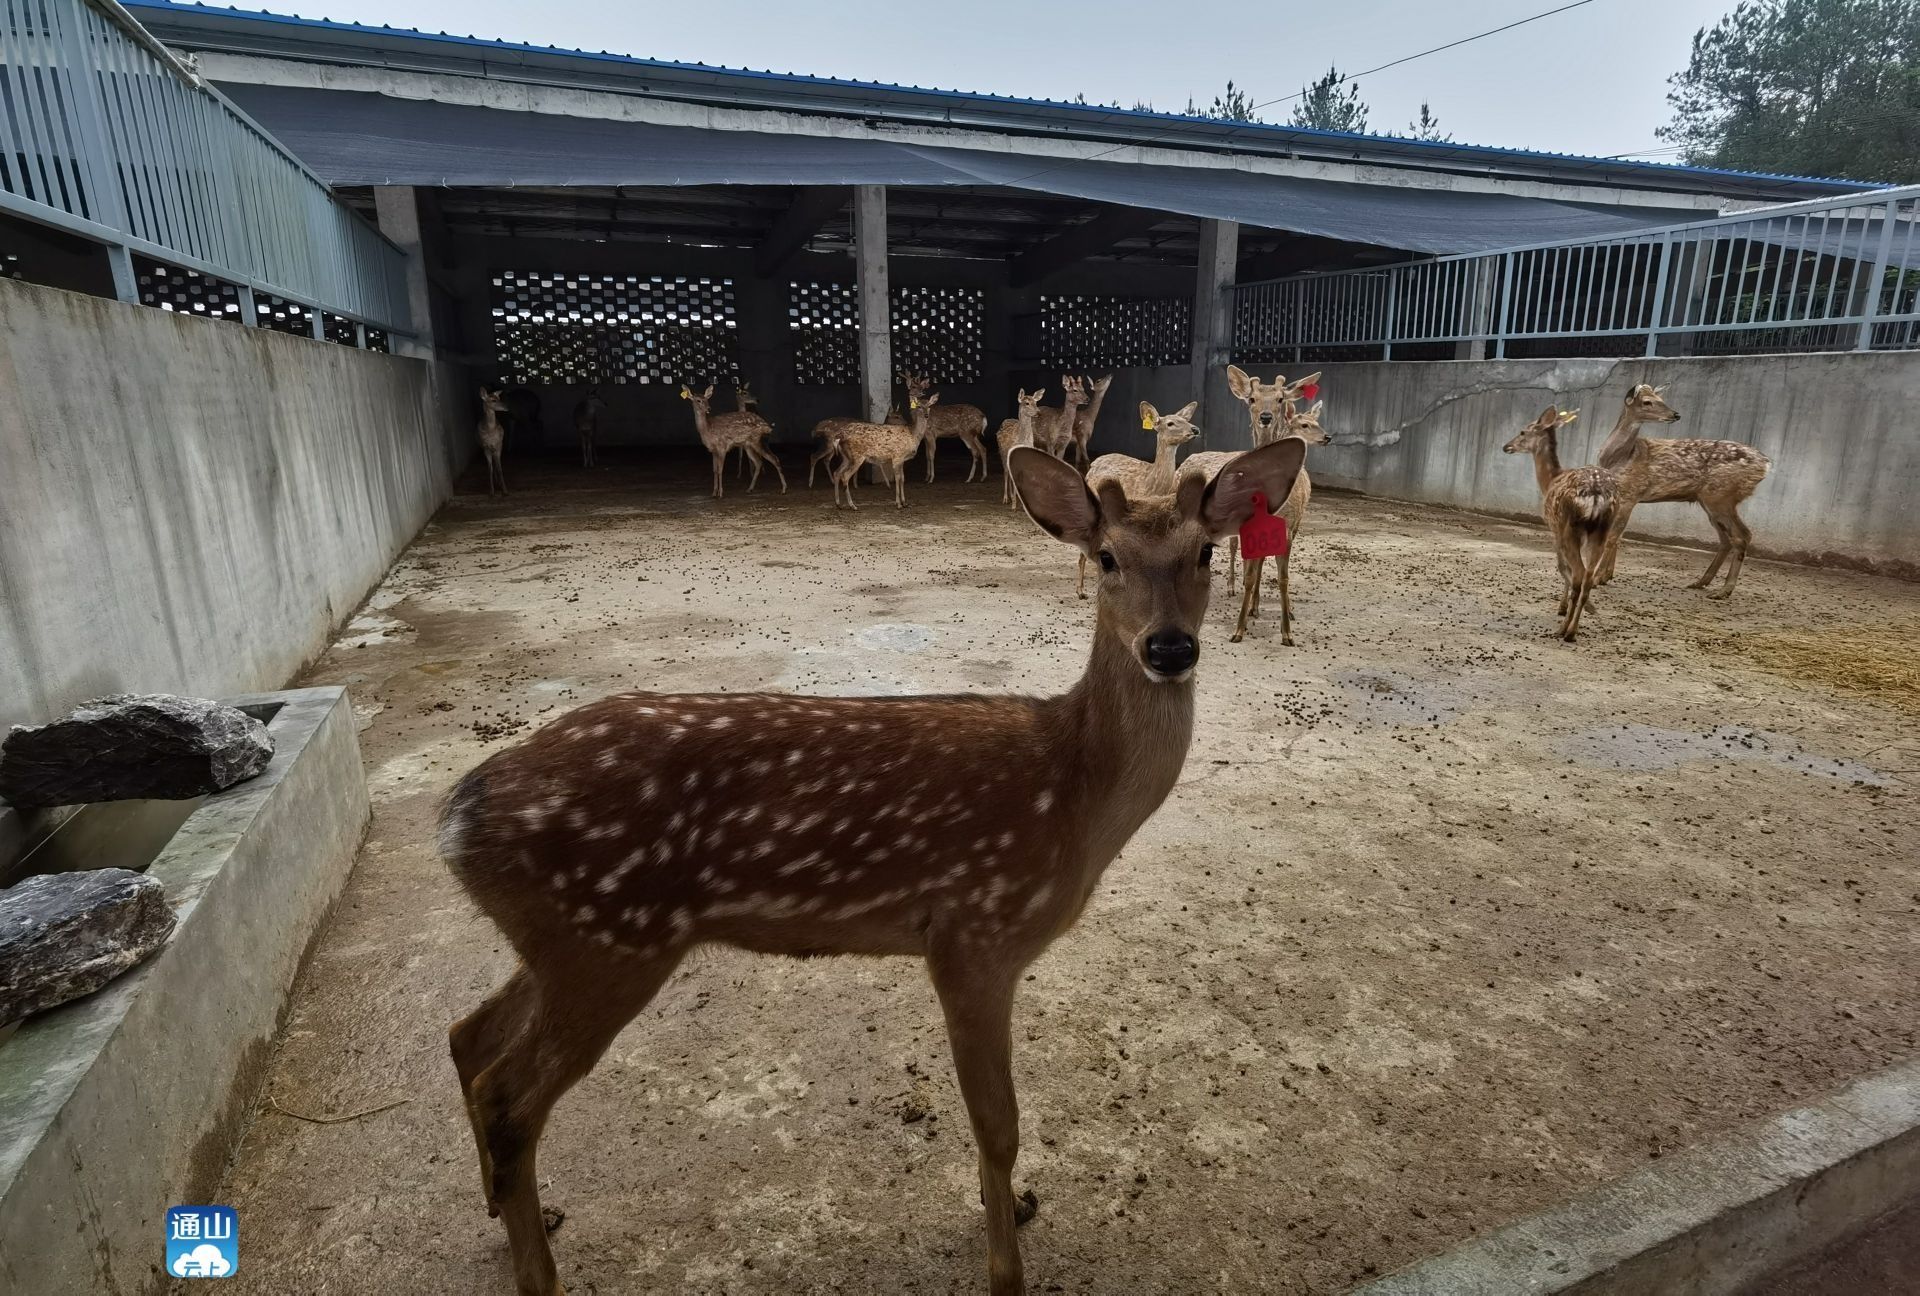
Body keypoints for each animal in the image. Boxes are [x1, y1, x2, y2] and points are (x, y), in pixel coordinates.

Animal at [439, 435, 1305, 1296]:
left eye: (1204, 550)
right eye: (1108, 557)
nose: (1170, 646)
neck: (1074, 794)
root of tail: (454, 819)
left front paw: (1017, 1208)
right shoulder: (972, 934)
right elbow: (998, 1123)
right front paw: (1006, 1268)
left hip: (572, 940)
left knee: (468, 1036)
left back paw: (506, 1208)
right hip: (611, 938)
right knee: (510, 1096)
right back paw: (538, 1270)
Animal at [1075, 401, 1190, 599]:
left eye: (1187, 420)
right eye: (1170, 423)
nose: (1195, 429)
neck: (1151, 485)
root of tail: (1093, 465)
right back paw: (1081, 590)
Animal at [1497, 405, 1620, 645]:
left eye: (1523, 431)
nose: (1507, 446)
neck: (1550, 480)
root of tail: (1596, 494)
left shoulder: (1553, 527)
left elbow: (1562, 567)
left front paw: (1562, 608)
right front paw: (1582, 608)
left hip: (1569, 525)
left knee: (1579, 574)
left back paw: (1566, 630)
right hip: (1601, 530)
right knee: (1588, 577)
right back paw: (1574, 626)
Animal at [1589, 382, 1766, 599]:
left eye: (1661, 399)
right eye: (1647, 401)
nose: (1676, 414)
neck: (1619, 457)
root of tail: (1765, 464)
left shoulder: (1632, 492)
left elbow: (1613, 536)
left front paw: (1597, 579)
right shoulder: (1621, 496)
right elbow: (1618, 535)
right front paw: (1607, 576)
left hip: (1721, 496)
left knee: (1742, 536)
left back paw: (1724, 590)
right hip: (1709, 501)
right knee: (1726, 539)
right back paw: (1701, 582)